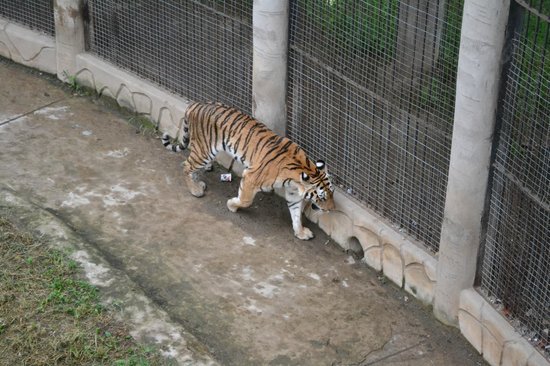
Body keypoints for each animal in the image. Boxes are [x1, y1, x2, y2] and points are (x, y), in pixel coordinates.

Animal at [162, 101, 338, 242]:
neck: (302, 170)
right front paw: (232, 206)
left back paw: (202, 175)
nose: (331, 209)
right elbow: (245, 200)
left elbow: (295, 213)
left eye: (332, 193)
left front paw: (300, 232)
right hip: (204, 152)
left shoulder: (293, 192)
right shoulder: (251, 177)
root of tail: (195, 104)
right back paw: (195, 189)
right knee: (186, 165)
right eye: (321, 197)